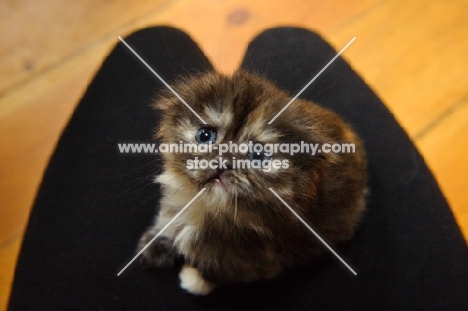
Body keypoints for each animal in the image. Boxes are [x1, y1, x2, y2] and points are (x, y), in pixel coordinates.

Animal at [137, 70, 368, 294]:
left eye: (257, 156)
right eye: (205, 135)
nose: (223, 162)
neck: (207, 208)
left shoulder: (254, 262)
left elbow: (217, 270)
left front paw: (195, 279)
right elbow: (169, 220)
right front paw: (157, 245)